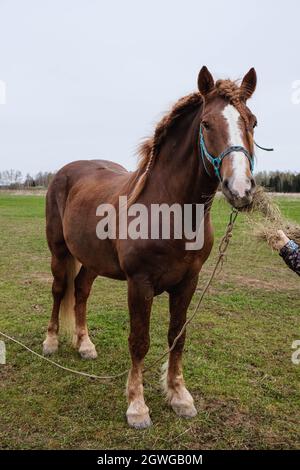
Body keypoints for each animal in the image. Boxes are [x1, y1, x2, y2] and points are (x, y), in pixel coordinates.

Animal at [44, 67, 258, 430]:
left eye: (253, 122)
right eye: (206, 124)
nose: (240, 189)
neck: (169, 210)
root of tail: (65, 171)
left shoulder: (188, 283)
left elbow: (177, 336)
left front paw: (179, 396)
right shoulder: (139, 284)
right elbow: (139, 342)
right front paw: (137, 406)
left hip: (92, 260)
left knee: (81, 290)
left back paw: (85, 345)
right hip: (59, 252)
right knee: (60, 290)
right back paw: (51, 342)